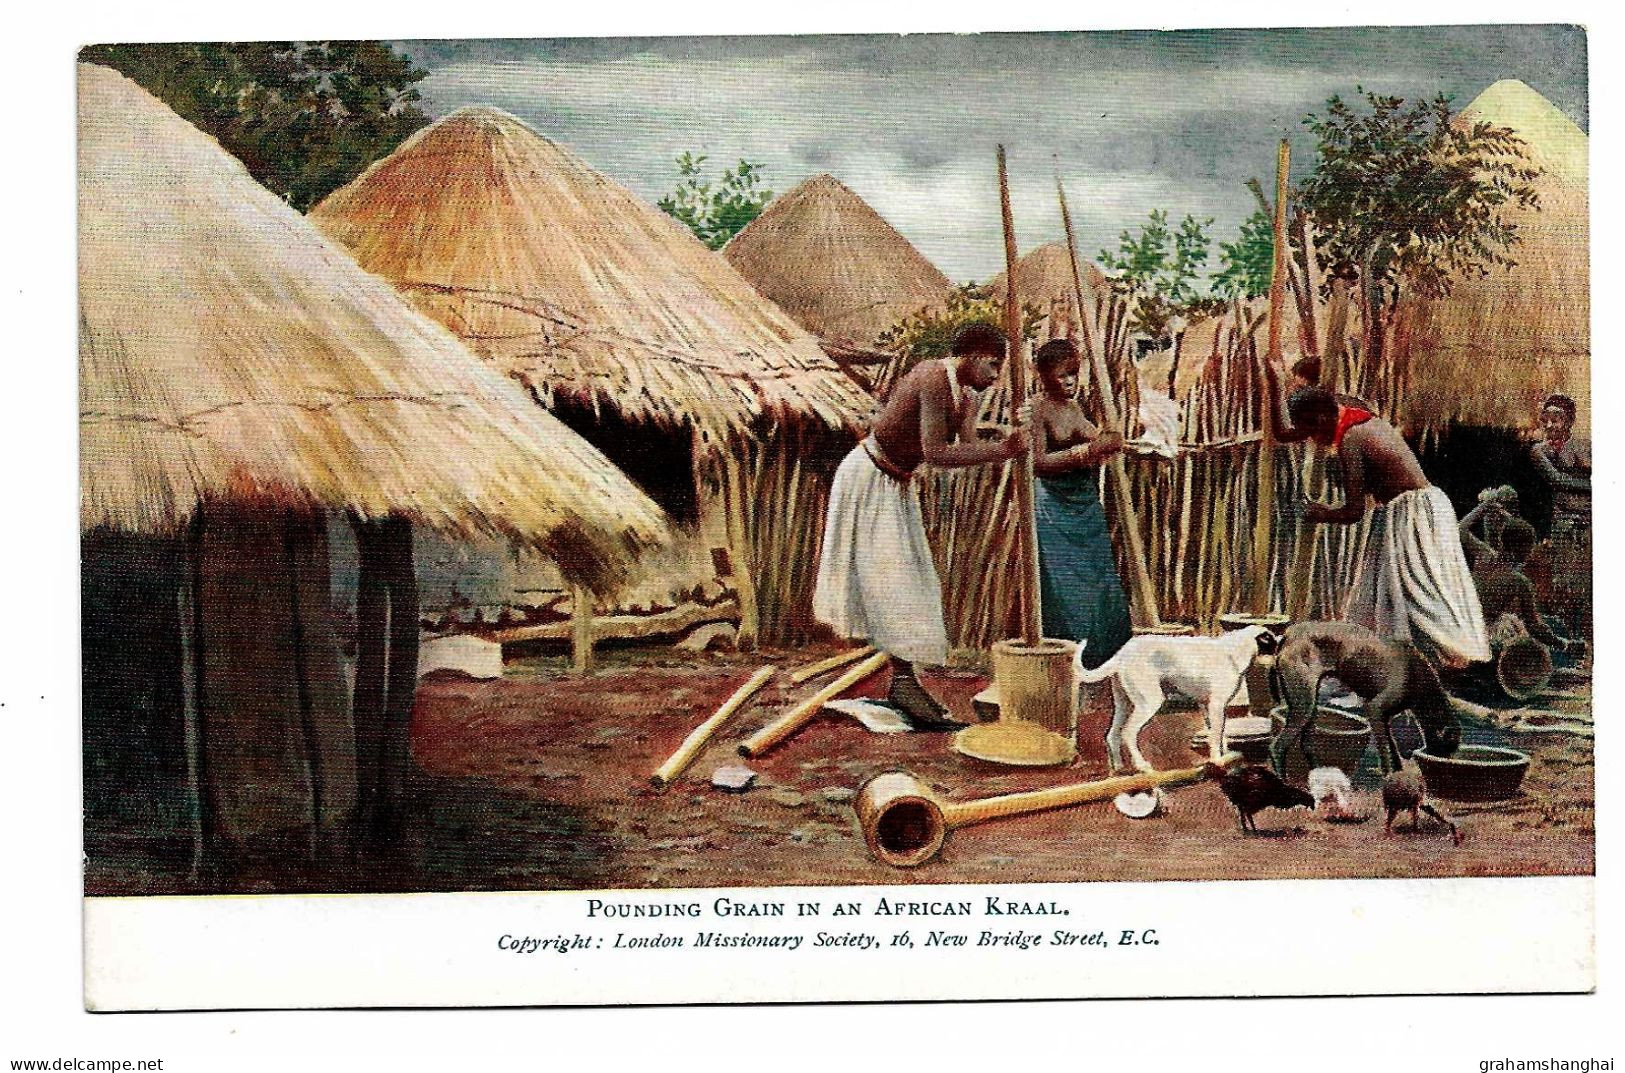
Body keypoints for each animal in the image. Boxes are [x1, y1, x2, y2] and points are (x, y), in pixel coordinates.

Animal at [1079, 627, 1280, 770]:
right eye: (1272, 643)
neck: (1232, 652)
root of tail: (1123, 652)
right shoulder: (1216, 706)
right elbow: (1216, 736)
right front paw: (1218, 760)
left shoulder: (1208, 708)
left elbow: (1219, 734)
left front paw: (1226, 755)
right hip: (1148, 703)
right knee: (1128, 732)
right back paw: (1141, 765)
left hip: (1123, 705)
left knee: (1112, 734)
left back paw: (1118, 768)